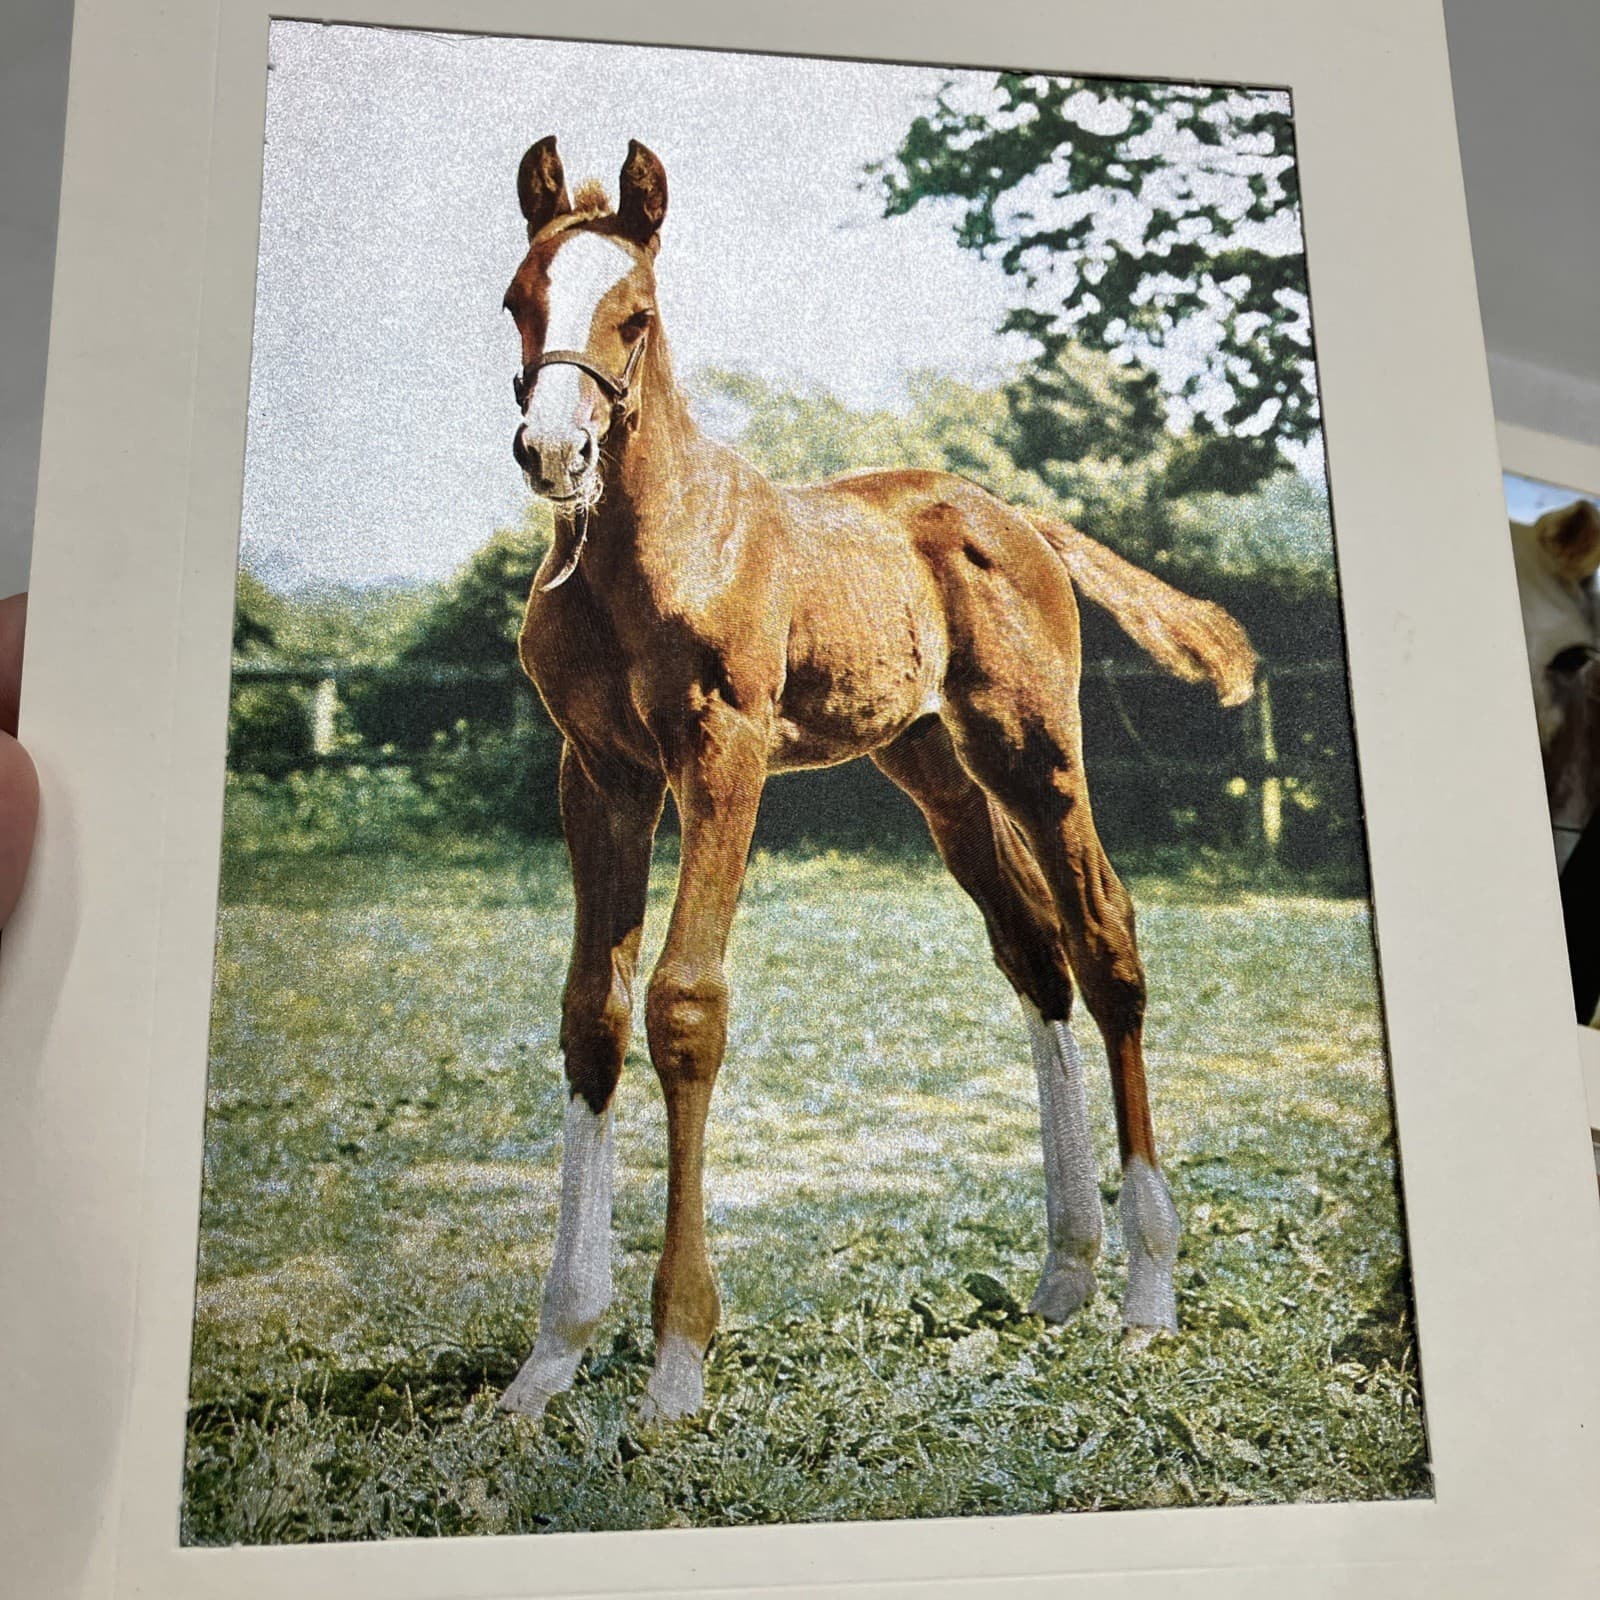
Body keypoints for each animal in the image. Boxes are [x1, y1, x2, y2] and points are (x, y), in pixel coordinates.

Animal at [496, 136, 1257, 1422]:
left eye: (635, 314)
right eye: (516, 303)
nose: (556, 453)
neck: (647, 548)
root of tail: (1023, 518)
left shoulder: (722, 752)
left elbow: (682, 1005)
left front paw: (676, 1357)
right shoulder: (596, 772)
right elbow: (591, 1014)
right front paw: (551, 1353)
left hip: (1032, 749)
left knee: (1102, 936)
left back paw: (1148, 1287)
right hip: (935, 769)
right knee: (1033, 951)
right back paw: (1065, 1273)